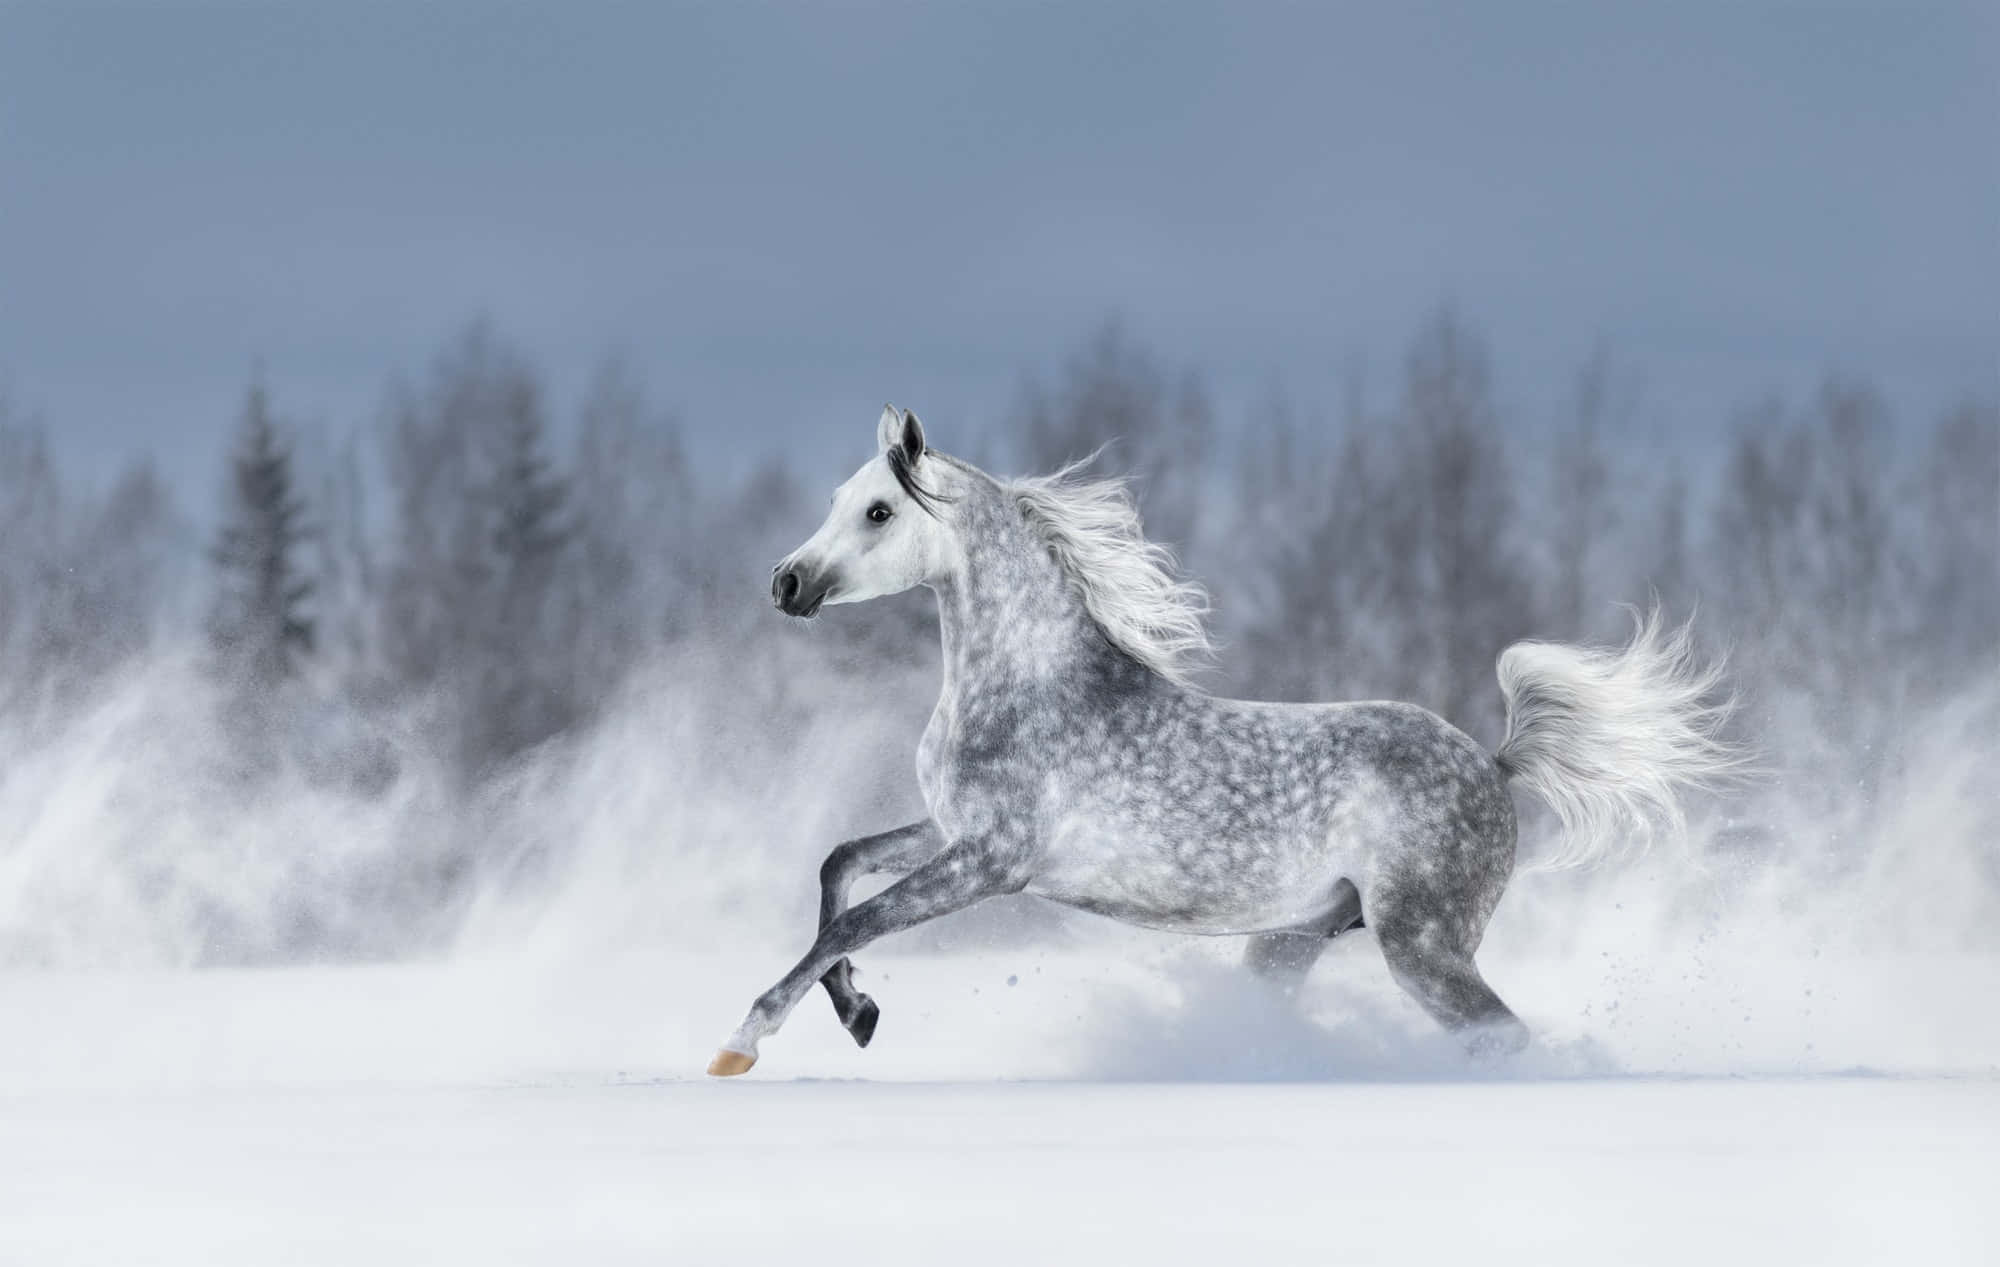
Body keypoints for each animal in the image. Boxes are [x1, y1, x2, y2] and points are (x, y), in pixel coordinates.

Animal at [708, 406, 1735, 1076]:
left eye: (879, 512)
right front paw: (860, 1012)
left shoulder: (991, 860)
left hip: (1424, 945)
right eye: (840, 498)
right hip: (1293, 940)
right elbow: (839, 867)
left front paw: (742, 1041)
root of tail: (1494, 760)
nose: (785, 582)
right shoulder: (947, 830)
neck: (1027, 686)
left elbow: (854, 917)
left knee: (1502, 1037)